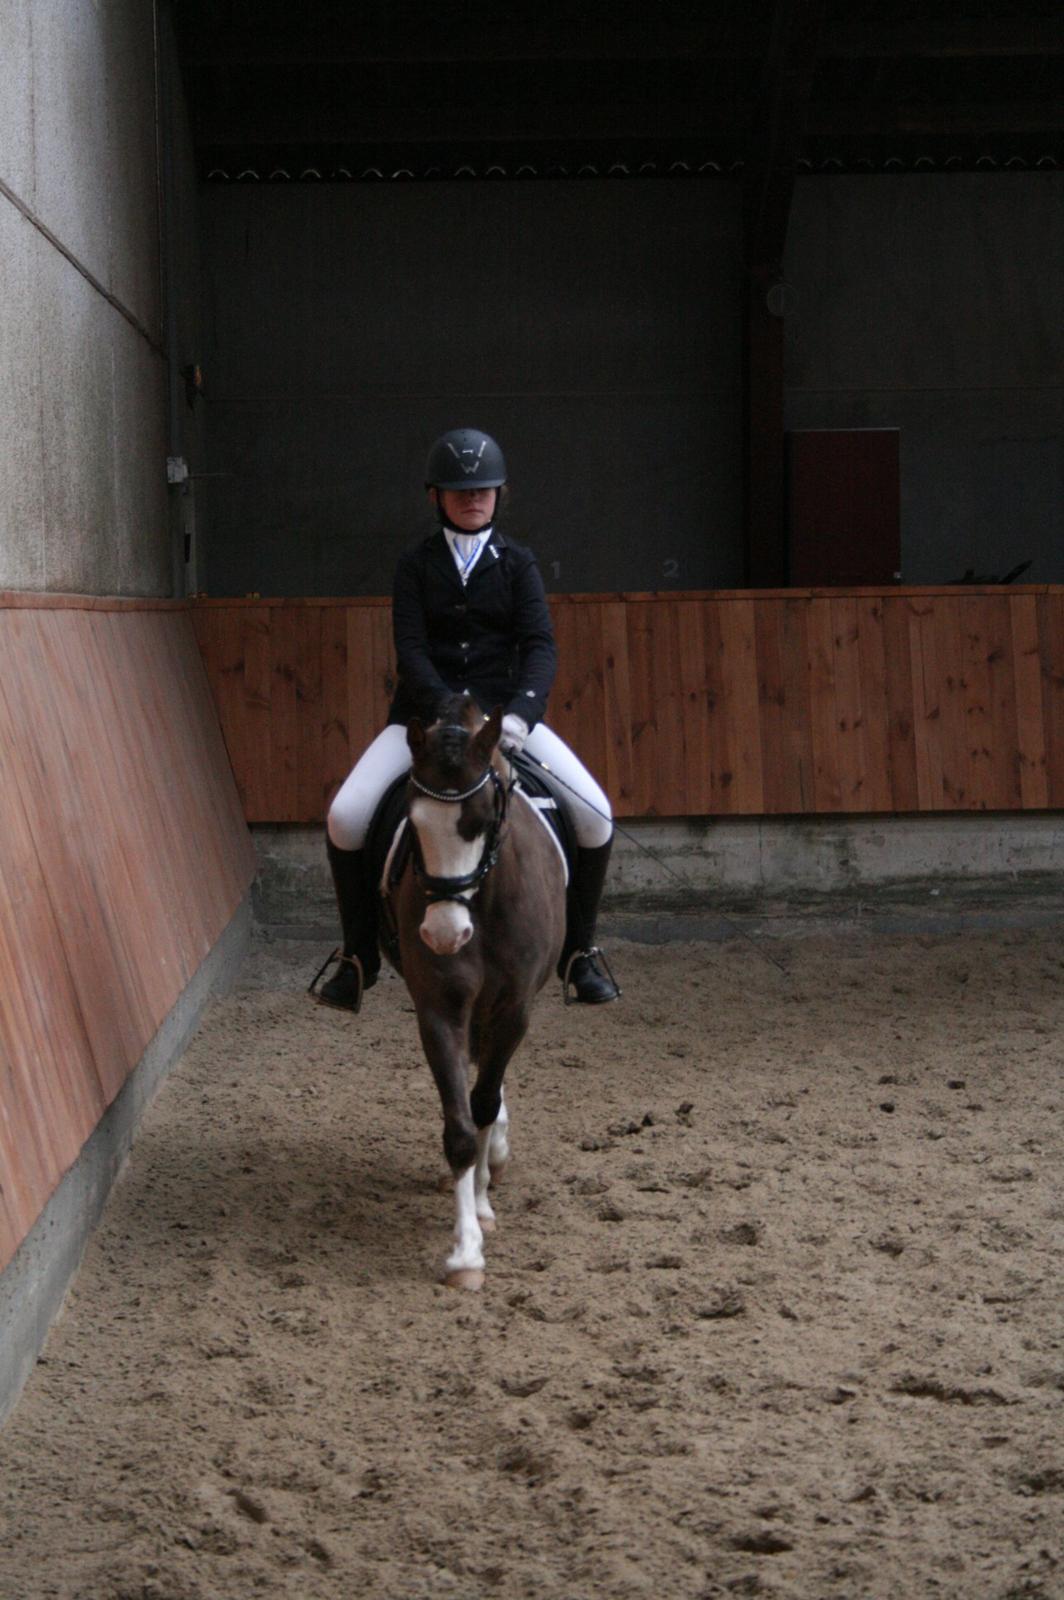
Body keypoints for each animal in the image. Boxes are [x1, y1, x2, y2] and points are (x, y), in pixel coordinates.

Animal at [384, 694, 563, 1292]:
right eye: (412, 822)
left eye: (482, 821)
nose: (444, 935)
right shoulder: (439, 1008)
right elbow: (461, 1124)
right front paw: (465, 1252)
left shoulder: (514, 1010)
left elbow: (483, 1104)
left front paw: (481, 1207)